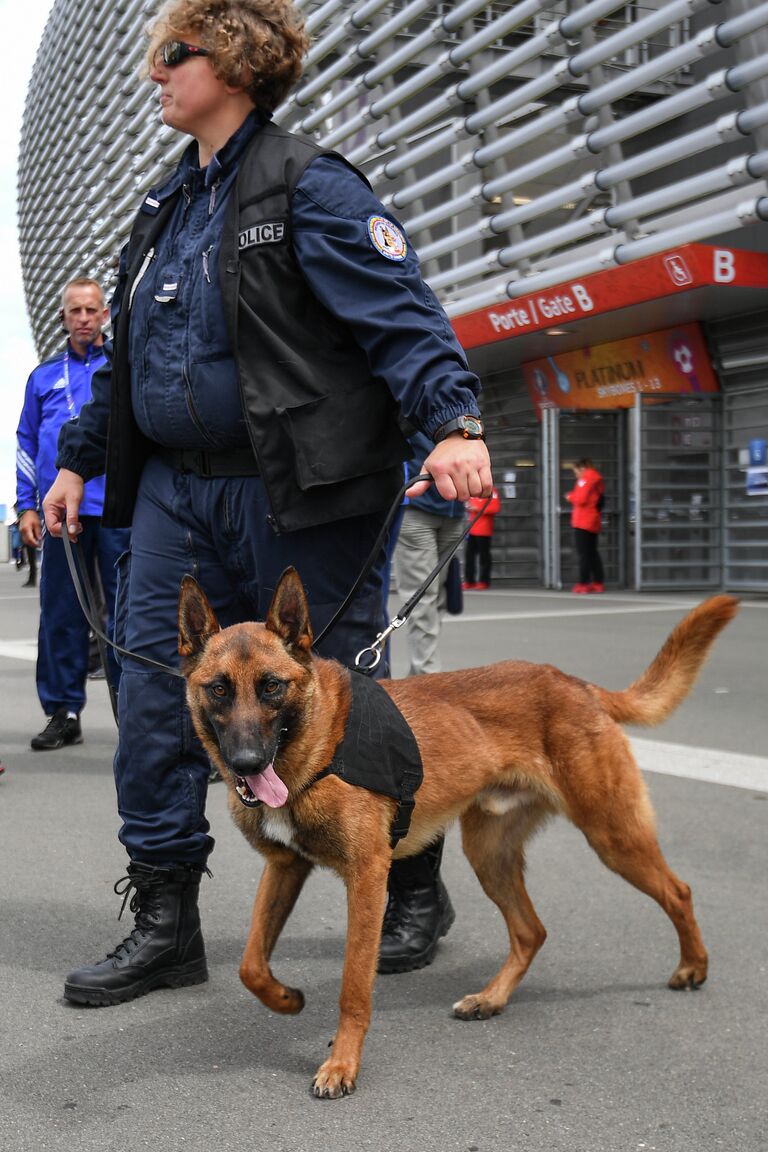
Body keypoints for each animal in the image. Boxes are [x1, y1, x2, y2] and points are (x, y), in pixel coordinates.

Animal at [178, 571, 736, 1101]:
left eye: (272, 686)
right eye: (219, 689)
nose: (246, 764)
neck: (318, 746)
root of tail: (575, 683)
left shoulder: (367, 878)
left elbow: (354, 985)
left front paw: (342, 1065)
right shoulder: (285, 868)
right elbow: (251, 964)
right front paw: (286, 999)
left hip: (612, 835)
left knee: (678, 892)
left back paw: (693, 967)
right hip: (490, 856)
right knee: (531, 931)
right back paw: (491, 998)